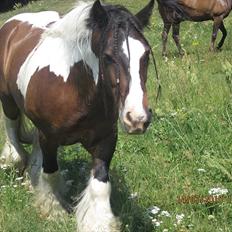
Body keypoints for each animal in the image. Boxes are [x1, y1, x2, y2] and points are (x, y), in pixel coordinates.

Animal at [0, 0, 156, 232]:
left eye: (145, 55)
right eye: (108, 57)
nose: (136, 118)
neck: (75, 88)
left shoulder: (105, 140)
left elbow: (100, 186)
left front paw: (99, 223)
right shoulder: (49, 138)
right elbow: (51, 173)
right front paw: (54, 211)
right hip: (7, 100)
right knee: (12, 130)